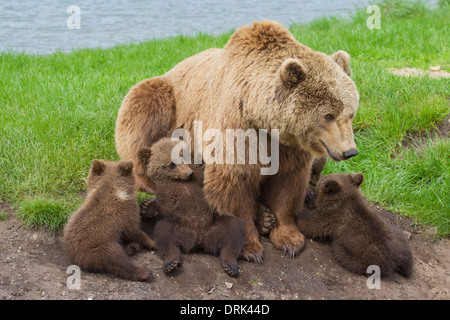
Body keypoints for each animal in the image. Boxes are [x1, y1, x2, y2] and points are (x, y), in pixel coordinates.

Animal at [115, 20, 358, 262]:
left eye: (351, 112)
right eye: (328, 115)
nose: (349, 151)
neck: (262, 118)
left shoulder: (287, 146)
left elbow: (287, 184)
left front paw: (289, 239)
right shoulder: (237, 129)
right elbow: (233, 182)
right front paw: (251, 247)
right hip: (165, 97)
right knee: (142, 115)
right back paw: (147, 180)